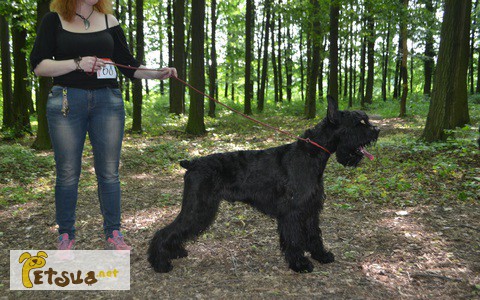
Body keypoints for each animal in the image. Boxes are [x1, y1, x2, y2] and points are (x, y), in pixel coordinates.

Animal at [148, 96, 380, 274]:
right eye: (358, 123)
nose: (376, 130)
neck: (311, 154)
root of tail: (192, 163)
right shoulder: (293, 212)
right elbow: (295, 239)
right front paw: (300, 264)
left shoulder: (311, 209)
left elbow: (314, 235)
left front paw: (321, 256)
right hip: (198, 208)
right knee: (164, 232)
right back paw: (160, 263)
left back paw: (174, 252)